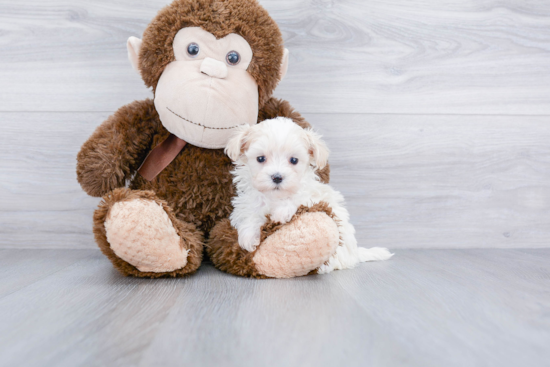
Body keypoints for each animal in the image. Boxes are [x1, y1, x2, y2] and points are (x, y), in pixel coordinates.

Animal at [226, 118, 394, 276]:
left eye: (294, 160)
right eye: (260, 158)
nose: (277, 177)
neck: (275, 196)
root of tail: (355, 254)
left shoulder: (313, 195)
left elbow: (299, 197)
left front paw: (281, 213)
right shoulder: (250, 200)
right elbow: (251, 213)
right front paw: (248, 237)